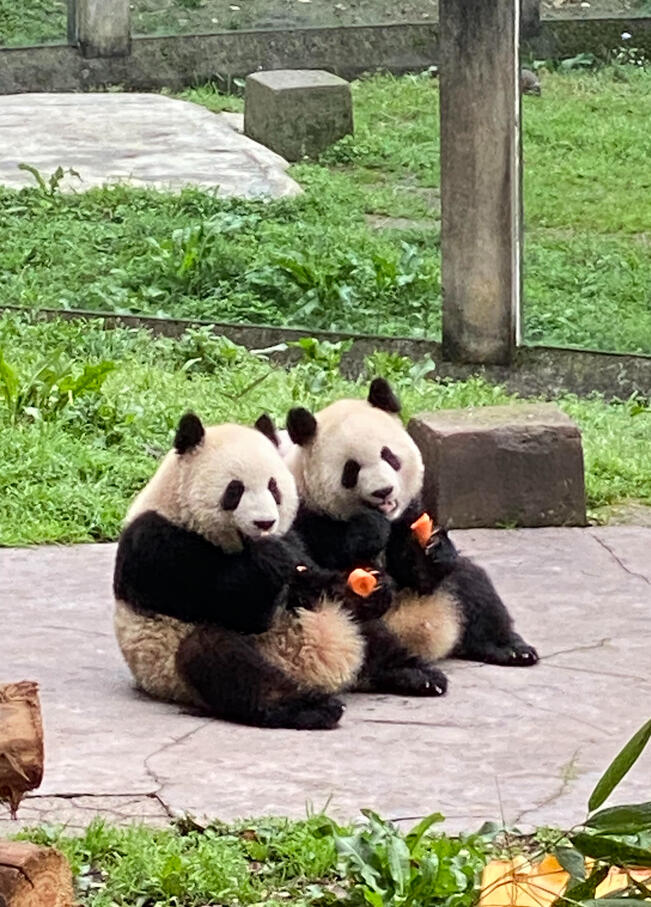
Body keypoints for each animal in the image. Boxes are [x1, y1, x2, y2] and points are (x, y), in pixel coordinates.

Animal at [113, 412, 371, 731]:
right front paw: (270, 560)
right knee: (219, 658)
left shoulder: (293, 537)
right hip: (170, 666)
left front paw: (363, 587)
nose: (265, 523)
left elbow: (309, 580)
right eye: (234, 490)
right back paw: (311, 708)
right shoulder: (156, 545)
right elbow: (238, 606)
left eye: (274, 488)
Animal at [272, 378, 538, 695]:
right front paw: (368, 533)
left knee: (472, 584)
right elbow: (316, 561)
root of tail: (411, 629)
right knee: (363, 631)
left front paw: (433, 548)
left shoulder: (408, 515)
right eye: (351, 469)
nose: (383, 491)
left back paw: (510, 648)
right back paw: (414, 673)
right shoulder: (303, 516)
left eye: (389, 456)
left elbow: (416, 568)